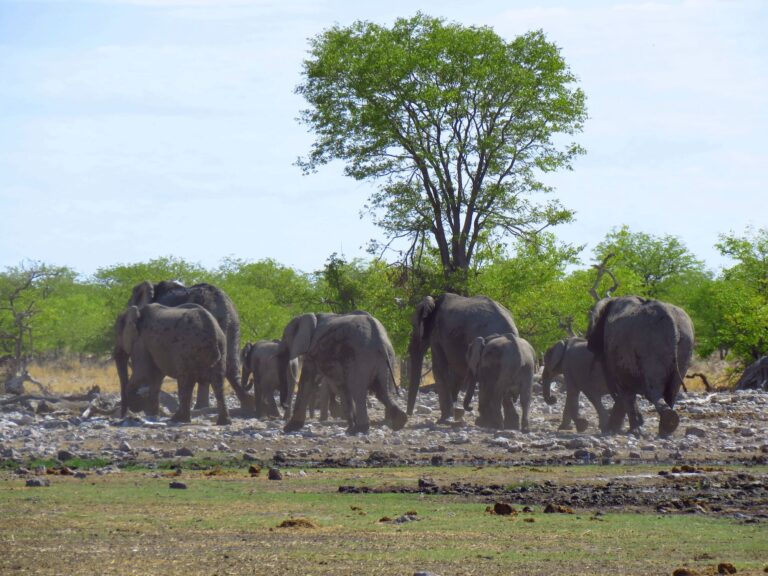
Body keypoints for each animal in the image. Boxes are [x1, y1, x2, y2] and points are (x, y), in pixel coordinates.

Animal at [278, 312, 408, 434]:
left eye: (284, 337)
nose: (285, 405)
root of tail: (380, 340)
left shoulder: (312, 350)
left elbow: (306, 381)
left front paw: (289, 428)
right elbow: (343, 386)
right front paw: (349, 428)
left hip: (361, 357)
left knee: (359, 391)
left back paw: (360, 429)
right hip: (387, 359)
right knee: (382, 391)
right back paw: (399, 423)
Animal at [404, 292, 520, 424]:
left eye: (414, 325)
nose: (409, 415)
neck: (434, 302)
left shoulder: (436, 335)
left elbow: (439, 368)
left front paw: (443, 419)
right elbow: (456, 374)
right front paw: (453, 414)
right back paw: (508, 423)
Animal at [588, 296, 696, 436]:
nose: (604, 429)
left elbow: (623, 390)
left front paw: (626, 429)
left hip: (651, 346)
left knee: (653, 389)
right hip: (685, 345)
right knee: (671, 391)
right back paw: (666, 428)